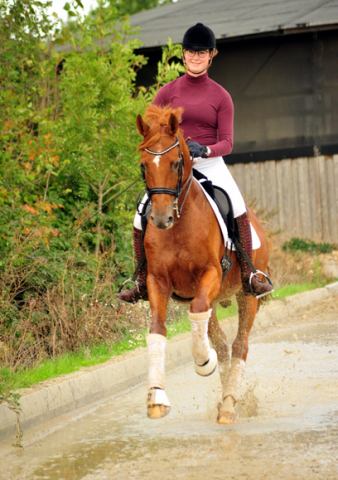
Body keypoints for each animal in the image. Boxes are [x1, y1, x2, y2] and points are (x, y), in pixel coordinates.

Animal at [136, 105, 270, 424]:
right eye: (144, 165)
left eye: (175, 163)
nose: (160, 219)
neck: (179, 225)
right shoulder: (158, 281)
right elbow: (157, 329)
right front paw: (156, 396)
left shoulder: (210, 274)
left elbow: (198, 311)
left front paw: (202, 362)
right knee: (221, 342)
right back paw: (224, 398)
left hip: (247, 294)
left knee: (239, 345)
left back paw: (230, 405)